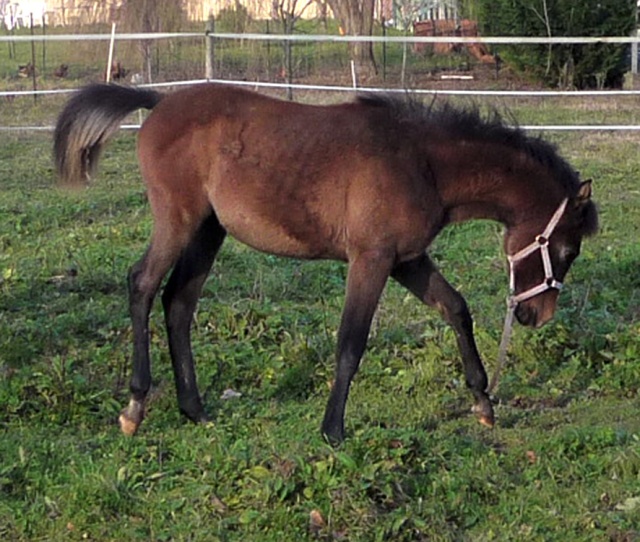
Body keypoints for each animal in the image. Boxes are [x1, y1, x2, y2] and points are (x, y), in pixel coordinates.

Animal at [52, 83, 596, 444]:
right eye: (567, 250)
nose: (534, 315)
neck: (422, 162)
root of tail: (160, 100)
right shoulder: (371, 259)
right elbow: (351, 342)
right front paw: (333, 430)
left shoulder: (406, 259)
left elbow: (455, 308)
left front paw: (483, 403)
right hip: (178, 220)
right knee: (142, 284)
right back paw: (135, 406)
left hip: (209, 230)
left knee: (179, 301)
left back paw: (194, 408)